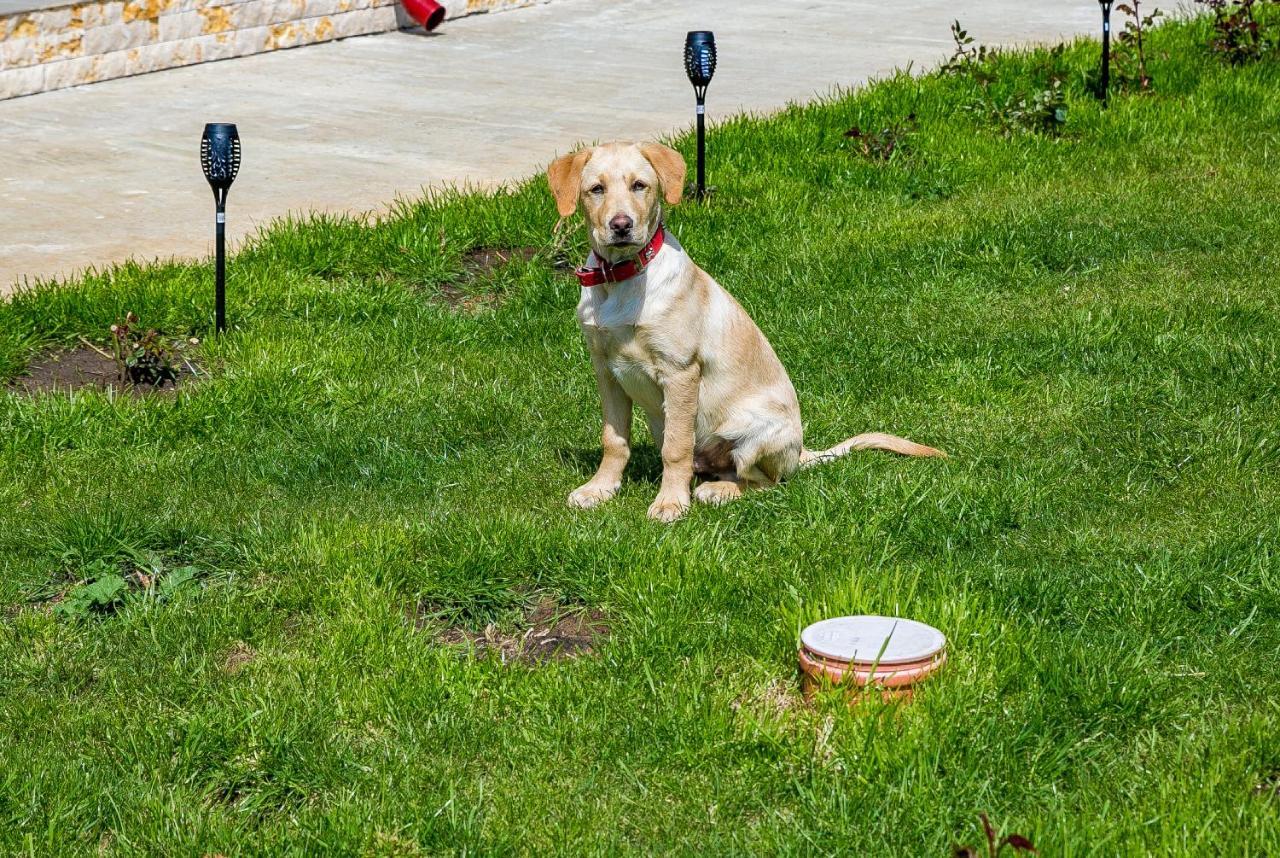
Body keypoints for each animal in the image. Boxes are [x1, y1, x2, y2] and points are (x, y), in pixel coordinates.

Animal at [545, 139, 947, 525]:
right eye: (596, 189)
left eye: (639, 185)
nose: (621, 225)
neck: (621, 279)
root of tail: (801, 452)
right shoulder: (607, 371)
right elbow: (614, 440)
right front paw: (600, 489)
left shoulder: (680, 372)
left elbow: (675, 448)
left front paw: (671, 503)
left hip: (754, 433)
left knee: (767, 482)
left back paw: (718, 491)